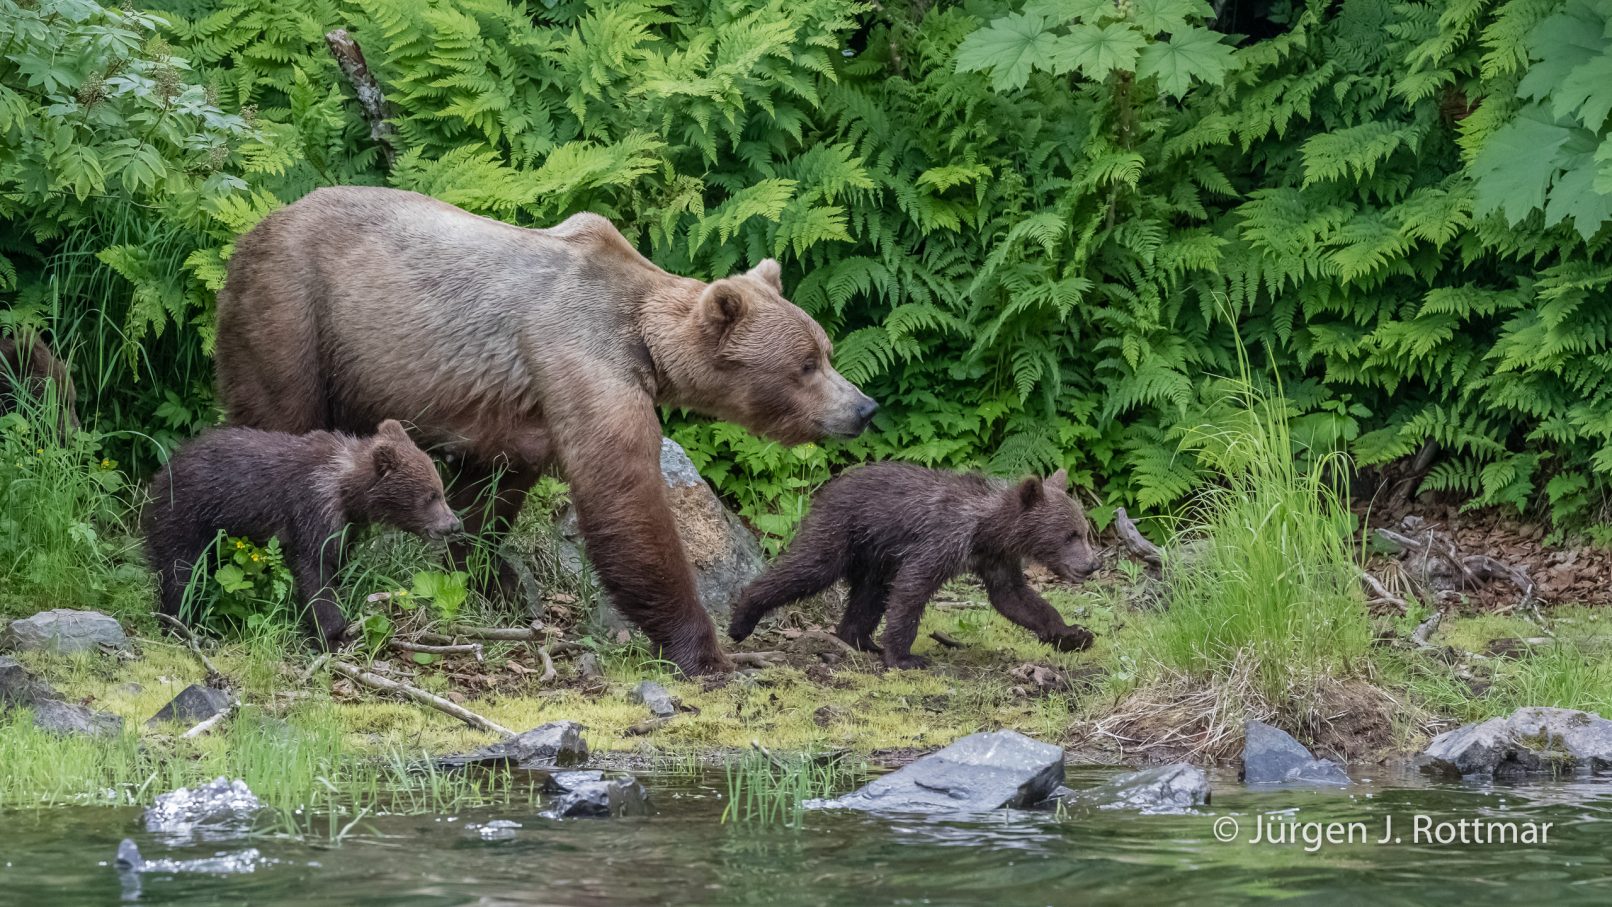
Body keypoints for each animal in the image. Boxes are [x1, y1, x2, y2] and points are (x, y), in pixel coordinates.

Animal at [143, 419, 462, 649]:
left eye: (440, 490)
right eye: (431, 496)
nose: (453, 524)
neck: (346, 490)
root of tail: (164, 469)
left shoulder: (345, 526)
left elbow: (336, 561)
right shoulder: (312, 509)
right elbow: (314, 570)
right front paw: (335, 635)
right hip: (188, 513)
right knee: (180, 570)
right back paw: (182, 624)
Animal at [213, 186, 876, 675]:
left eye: (824, 350)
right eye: (806, 364)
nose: (864, 407)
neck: (644, 342)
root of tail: (251, 230)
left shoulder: (519, 409)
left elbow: (494, 483)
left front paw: (491, 573)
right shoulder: (582, 357)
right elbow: (623, 498)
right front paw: (703, 649)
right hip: (294, 316)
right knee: (283, 421)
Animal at [728, 463, 1099, 669]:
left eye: (1084, 531)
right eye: (1070, 535)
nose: (1092, 564)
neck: (987, 529)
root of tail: (832, 484)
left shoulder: (997, 559)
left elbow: (1014, 597)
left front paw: (1072, 634)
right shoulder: (943, 539)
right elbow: (913, 587)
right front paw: (905, 657)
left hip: (876, 556)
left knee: (869, 595)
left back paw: (860, 640)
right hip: (843, 530)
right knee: (809, 568)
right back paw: (742, 618)